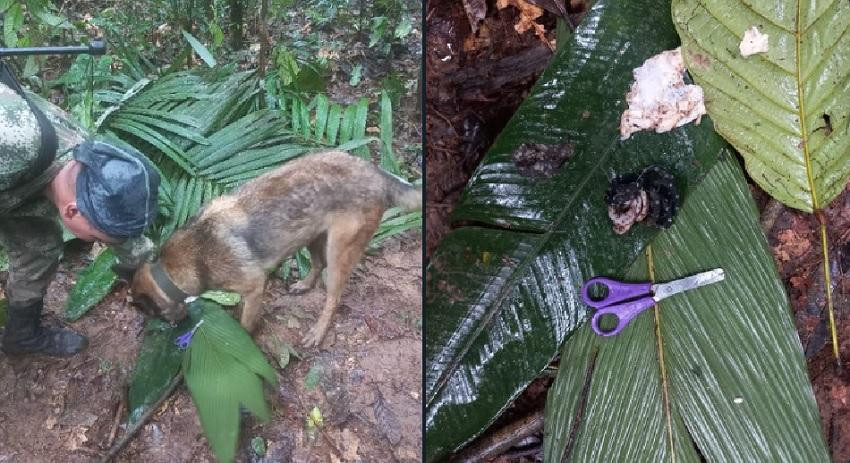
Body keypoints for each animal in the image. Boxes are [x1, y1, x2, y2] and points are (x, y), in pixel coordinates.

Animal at [130, 152, 420, 348]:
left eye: (152, 313)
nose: (177, 326)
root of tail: (375, 172)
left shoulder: (254, 287)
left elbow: (245, 323)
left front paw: (243, 340)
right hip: (312, 235)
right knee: (317, 264)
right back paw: (304, 285)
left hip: (339, 251)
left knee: (333, 297)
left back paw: (318, 331)